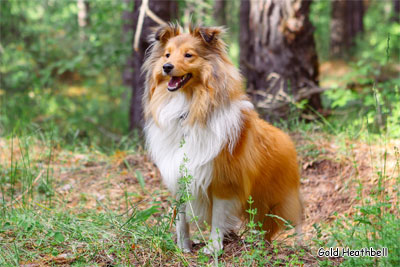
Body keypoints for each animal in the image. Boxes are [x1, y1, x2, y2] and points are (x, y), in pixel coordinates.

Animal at [142, 22, 302, 253]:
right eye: (167, 54)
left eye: (188, 55)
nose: (166, 67)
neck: (189, 109)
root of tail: (286, 139)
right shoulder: (180, 175)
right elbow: (182, 219)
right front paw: (184, 247)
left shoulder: (224, 180)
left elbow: (218, 217)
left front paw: (213, 248)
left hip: (275, 199)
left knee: (287, 223)